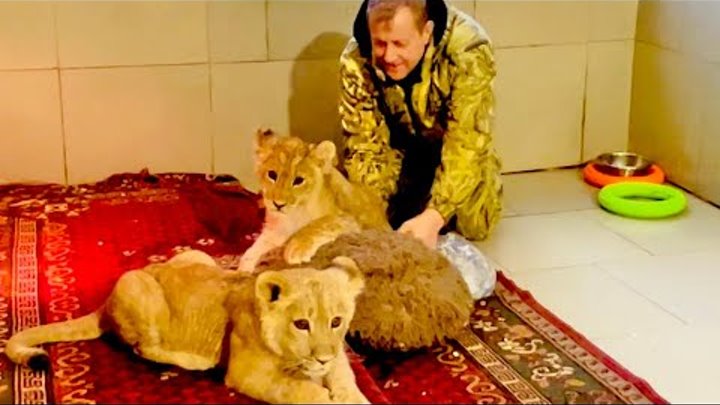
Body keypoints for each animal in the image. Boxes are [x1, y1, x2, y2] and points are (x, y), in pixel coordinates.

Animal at [5, 250, 370, 404]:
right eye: (301, 324)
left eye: (337, 321)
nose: (322, 358)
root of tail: (105, 304)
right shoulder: (246, 374)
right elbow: (304, 391)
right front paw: (324, 394)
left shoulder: (338, 356)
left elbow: (346, 378)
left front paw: (348, 393)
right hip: (136, 288)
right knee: (144, 348)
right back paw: (195, 361)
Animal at [238, 128, 391, 272]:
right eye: (272, 175)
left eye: (299, 180)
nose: (278, 204)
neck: (293, 215)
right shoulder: (275, 230)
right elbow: (257, 247)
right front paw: (243, 268)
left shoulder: (350, 221)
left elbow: (319, 223)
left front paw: (295, 248)